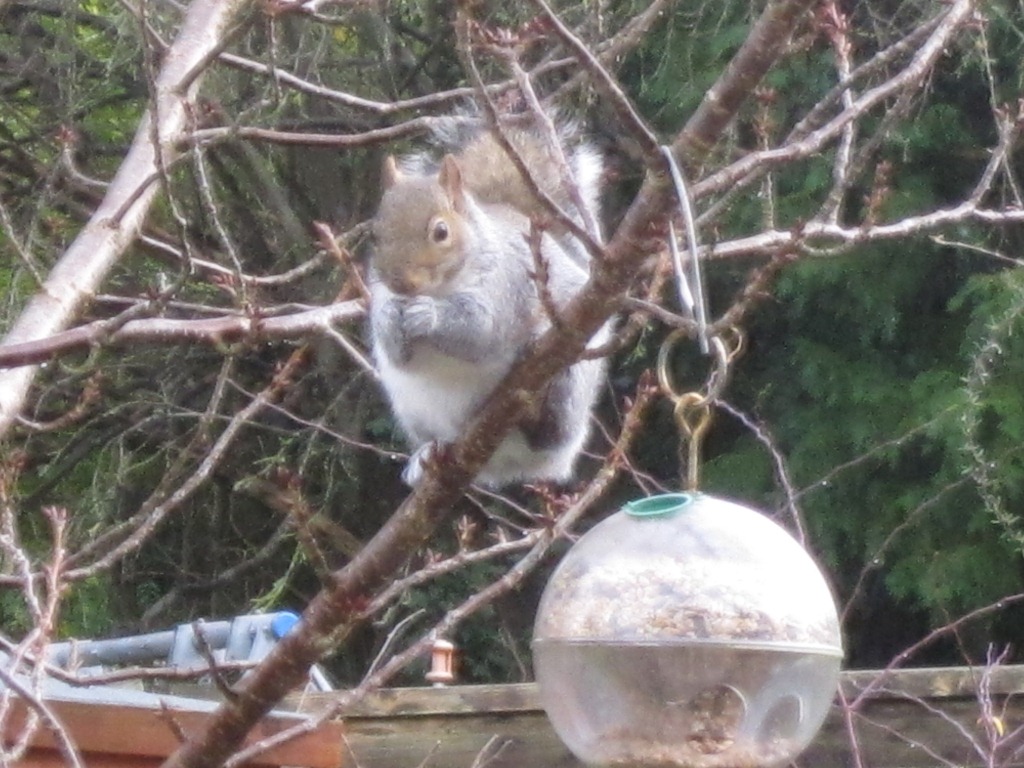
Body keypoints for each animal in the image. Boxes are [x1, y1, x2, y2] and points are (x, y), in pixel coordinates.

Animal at [368, 114, 609, 488]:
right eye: (374, 236)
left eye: (441, 232)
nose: (401, 284)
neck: (443, 287)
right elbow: (397, 352)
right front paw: (391, 319)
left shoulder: (507, 283)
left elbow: (482, 331)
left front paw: (428, 315)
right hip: (413, 410)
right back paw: (426, 455)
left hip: (570, 382)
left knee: (550, 433)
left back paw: (536, 412)